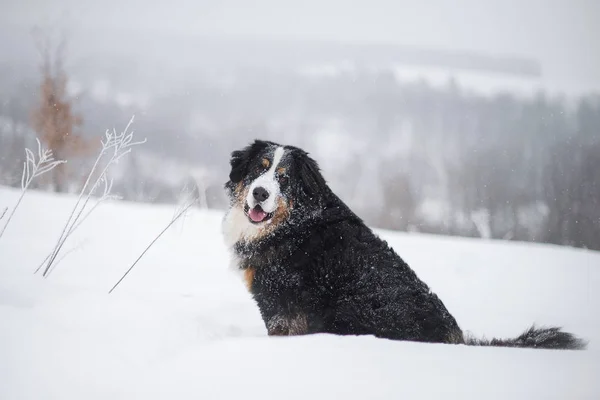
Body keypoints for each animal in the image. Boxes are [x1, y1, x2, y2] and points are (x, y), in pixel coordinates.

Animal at [223, 140, 588, 350]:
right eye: (259, 170)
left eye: (283, 178)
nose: (260, 193)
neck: (292, 226)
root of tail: (458, 340)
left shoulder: (286, 307)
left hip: (352, 308)